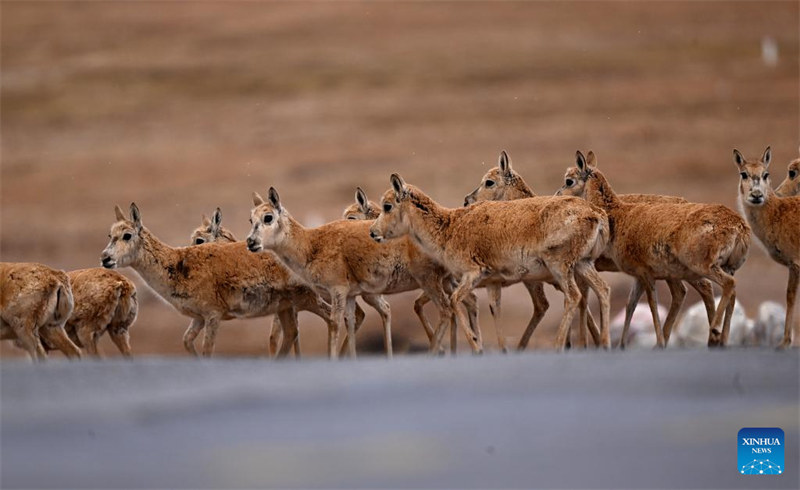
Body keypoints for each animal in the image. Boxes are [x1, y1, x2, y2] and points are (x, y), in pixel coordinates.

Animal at [101, 201, 336, 358]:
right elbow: (186, 341)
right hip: (286, 306)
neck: (179, 264)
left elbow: (207, 350)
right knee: (291, 333)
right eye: (110, 235)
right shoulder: (198, 318)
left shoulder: (213, 316)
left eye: (127, 235)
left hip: (307, 299)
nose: (105, 258)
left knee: (331, 319)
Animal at [370, 174, 612, 350]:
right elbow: (495, 309)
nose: (373, 232)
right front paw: (501, 349)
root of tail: (596, 214)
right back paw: (605, 343)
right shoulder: (493, 283)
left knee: (574, 296)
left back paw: (559, 344)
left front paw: (476, 345)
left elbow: (455, 301)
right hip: (583, 264)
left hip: (560, 267)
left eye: (388, 205)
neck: (449, 227)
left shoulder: (473, 274)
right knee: (602, 289)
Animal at [556, 151, 752, 346]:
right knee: (727, 294)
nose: (558, 196)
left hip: (701, 268)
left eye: (569, 180)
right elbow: (631, 304)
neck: (618, 214)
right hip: (718, 269)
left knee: (723, 285)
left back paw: (714, 331)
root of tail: (739, 225)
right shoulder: (639, 275)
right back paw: (721, 339)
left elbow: (650, 305)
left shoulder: (644, 273)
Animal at [736, 146, 796, 348]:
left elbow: (790, 297)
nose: (756, 195)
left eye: (766, 174)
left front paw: (784, 343)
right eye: (743, 173)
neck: (779, 212)